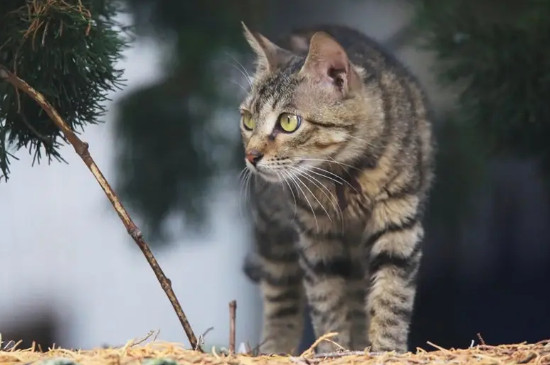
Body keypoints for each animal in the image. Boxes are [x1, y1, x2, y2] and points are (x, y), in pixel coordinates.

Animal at [239, 22, 438, 352]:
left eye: (288, 122)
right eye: (248, 120)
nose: (251, 156)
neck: (344, 175)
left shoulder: (399, 220)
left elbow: (391, 296)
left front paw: (385, 350)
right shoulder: (314, 236)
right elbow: (327, 303)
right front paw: (334, 351)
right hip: (273, 230)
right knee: (282, 296)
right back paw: (276, 348)